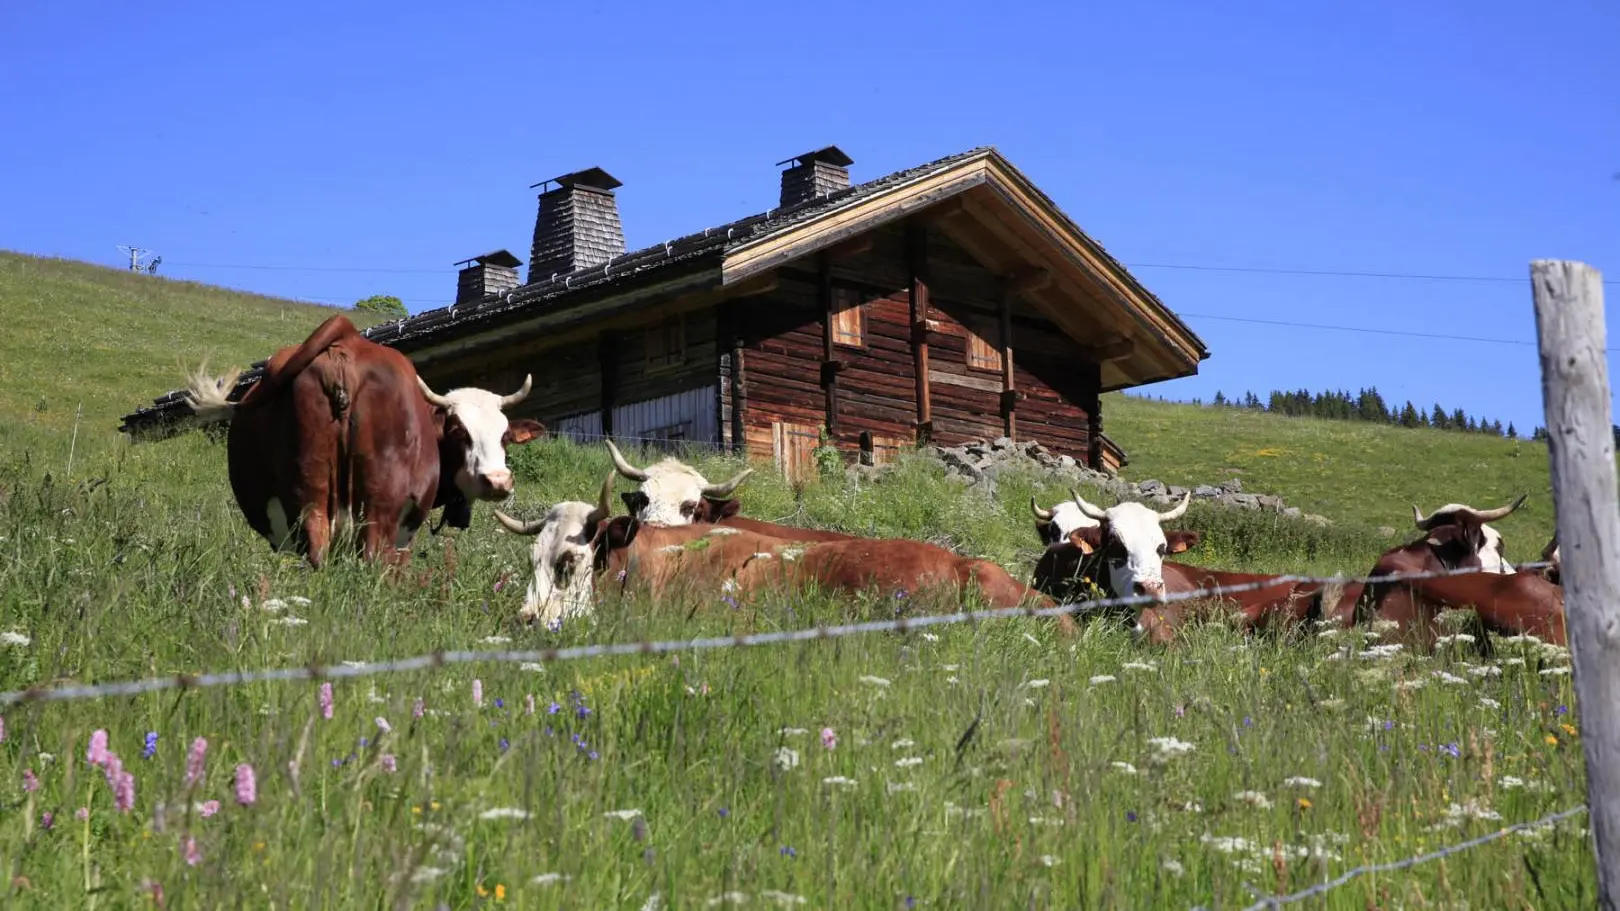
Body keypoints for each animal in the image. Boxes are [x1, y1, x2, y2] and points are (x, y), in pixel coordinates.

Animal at [182, 314, 543, 567]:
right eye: (459, 431)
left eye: (504, 435)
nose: (497, 482)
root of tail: (347, 340)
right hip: (379, 502)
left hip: (308, 489)